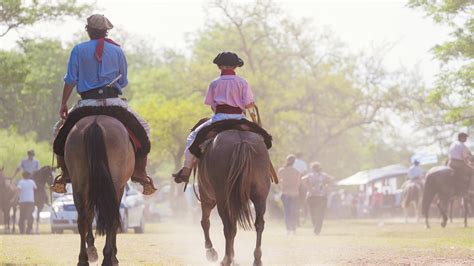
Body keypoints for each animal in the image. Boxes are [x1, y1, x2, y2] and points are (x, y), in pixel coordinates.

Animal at [65, 115, 134, 264]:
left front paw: (92, 249)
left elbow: (90, 215)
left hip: (79, 183)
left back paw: (83, 259)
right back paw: (108, 258)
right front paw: (113, 255)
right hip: (112, 185)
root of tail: (95, 122)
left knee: (83, 219)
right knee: (109, 218)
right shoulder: (119, 188)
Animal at [197, 130, 270, 266]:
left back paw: (226, 258)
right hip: (260, 196)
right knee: (259, 224)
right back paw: (257, 259)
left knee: (228, 227)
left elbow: (205, 222)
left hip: (221, 199)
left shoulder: (206, 196)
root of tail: (242, 141)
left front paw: (211, 252)